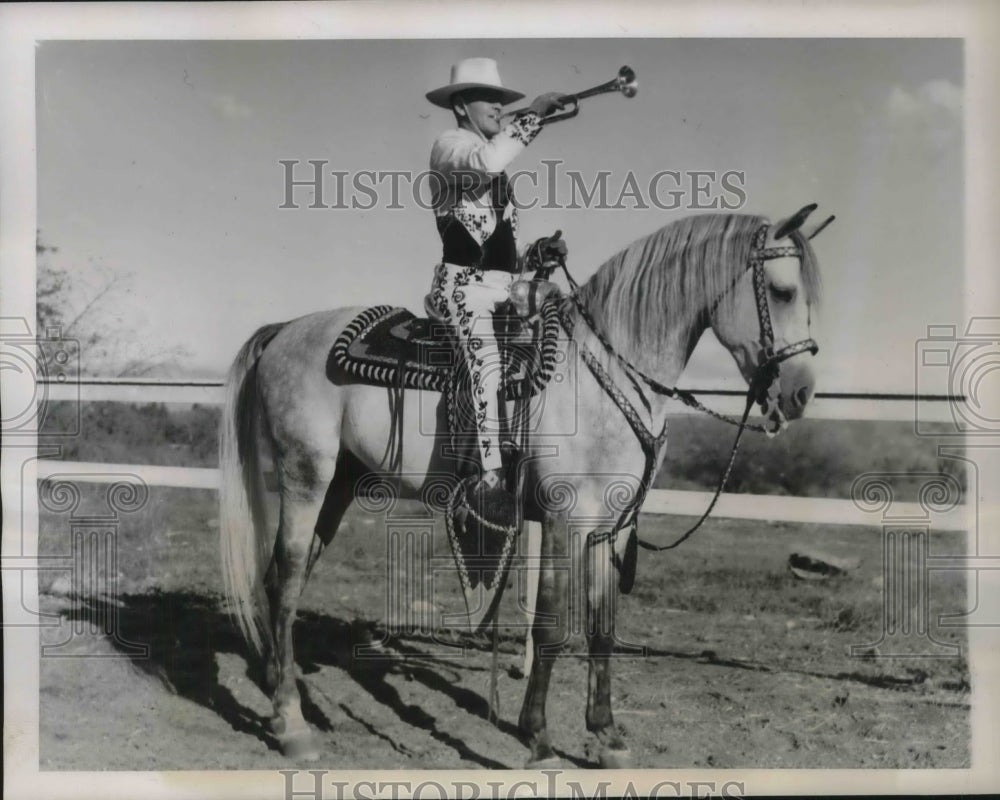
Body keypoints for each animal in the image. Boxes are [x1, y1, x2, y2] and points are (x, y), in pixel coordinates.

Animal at [219, 206, 828, 768]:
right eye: (782, 291)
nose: (800, 395)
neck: (601, 375)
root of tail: (284, 331)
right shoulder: (564, 519)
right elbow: (553, 625)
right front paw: (537, 739)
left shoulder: (611, 528)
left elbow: (603, 629)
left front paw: (606, 737)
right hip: (306, 477)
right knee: (287, 582)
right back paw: (292, 724)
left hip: (340, 485)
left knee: (280, 581)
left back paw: (277, 687)